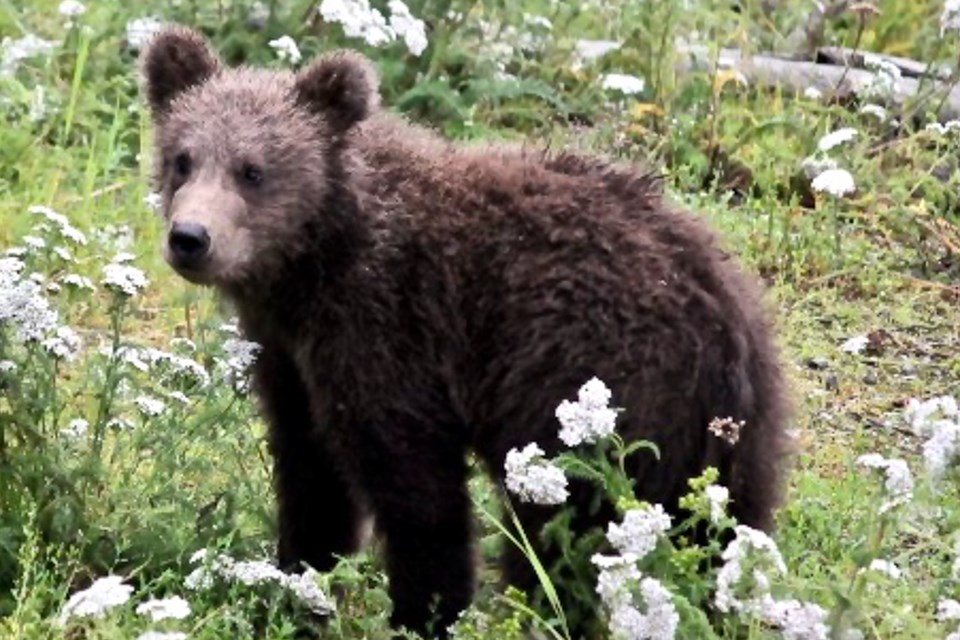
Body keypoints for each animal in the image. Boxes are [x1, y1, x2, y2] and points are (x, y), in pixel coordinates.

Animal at [140, 26, 790, 638]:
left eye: (253, 170)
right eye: (183, 158)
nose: (191, 237)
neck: (314, 263)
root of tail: (725, 327)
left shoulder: (390, 329)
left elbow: (417, 492)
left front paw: (424, 611)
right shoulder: (292, 358)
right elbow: (311, 475)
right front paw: (295, 589)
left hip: (593, 398)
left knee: (562, 539)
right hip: (733, 444)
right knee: (717, 540)